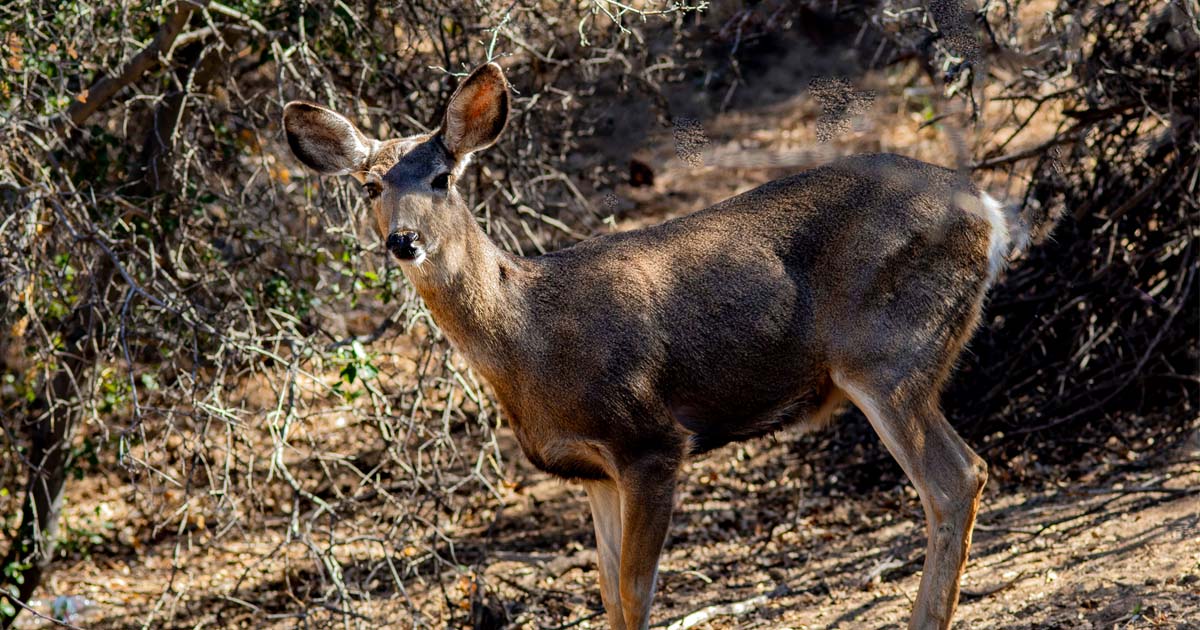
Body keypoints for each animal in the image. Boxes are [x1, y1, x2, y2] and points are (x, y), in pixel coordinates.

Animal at [281, 62, 1058, 629]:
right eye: (369, 185)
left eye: (442, 177)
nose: (403, 240)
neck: (530, 338)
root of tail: (991, 211)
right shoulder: (592, 472)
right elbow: (607, 595)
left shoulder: (651, 440)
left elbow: (637, 591)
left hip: (889, 353)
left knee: (958, 478)